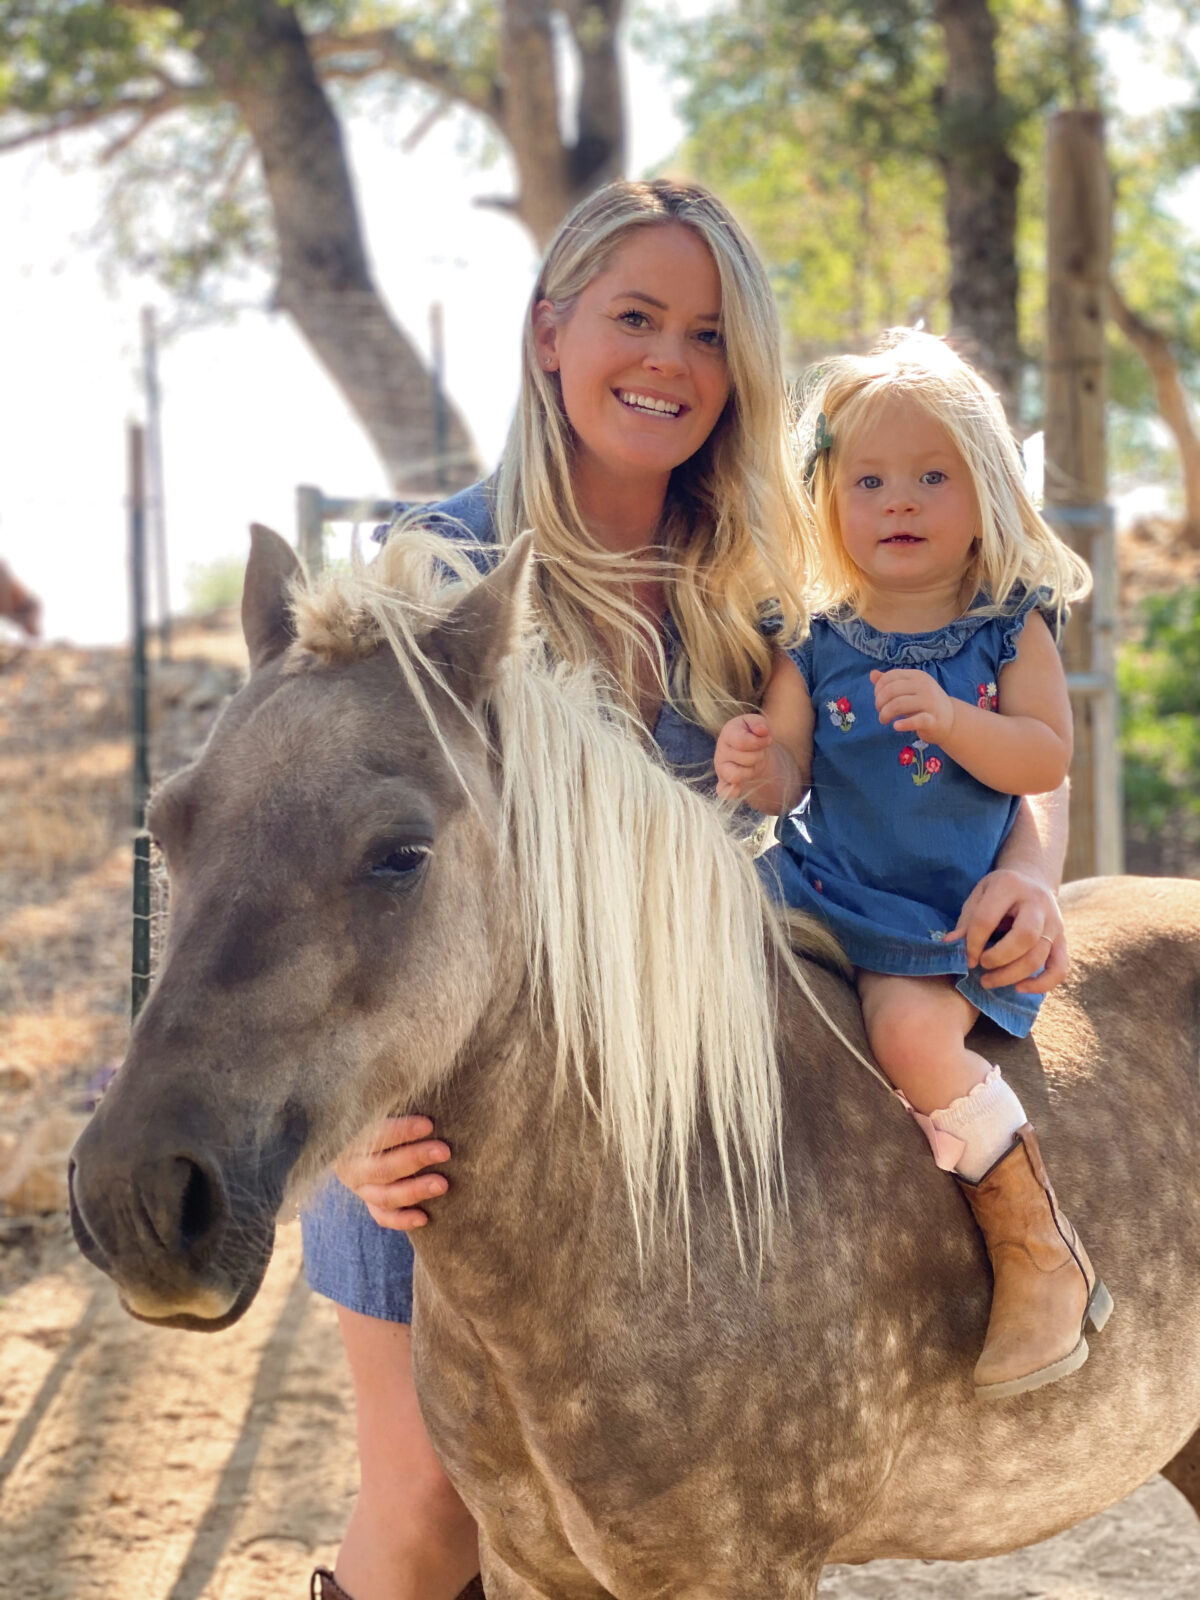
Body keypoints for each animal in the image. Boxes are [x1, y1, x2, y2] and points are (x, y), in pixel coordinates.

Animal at [69, 524, 1200, 1598]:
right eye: (168, 827)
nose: (140, 1194)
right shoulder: (525, 1565)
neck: (674, 1193)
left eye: (401, 853)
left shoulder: (741, 1573)